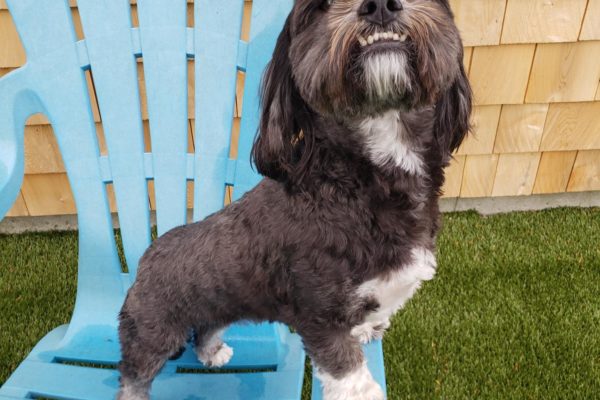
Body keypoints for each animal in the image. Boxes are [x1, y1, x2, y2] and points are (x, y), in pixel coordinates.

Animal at [117, 0, 472, 396]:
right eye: (320, 8)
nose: (379, 6)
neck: (361, 182)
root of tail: (144, 262)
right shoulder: (320, 313)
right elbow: (350, 376)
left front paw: (367, 327)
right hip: (155, 329)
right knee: (133, 374)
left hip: (218, 304)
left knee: (206, 328)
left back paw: (212, 352)